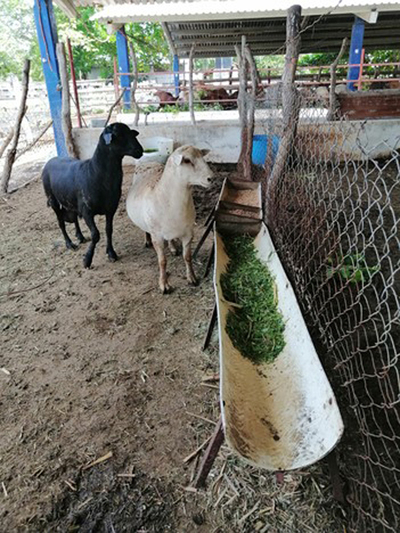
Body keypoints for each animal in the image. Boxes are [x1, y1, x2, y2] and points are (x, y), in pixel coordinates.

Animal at [43, 122, 143, 268]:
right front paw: (87, 260)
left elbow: (108, 230)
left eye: (131, 133)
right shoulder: (87, 211)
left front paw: (111, 253)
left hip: (71, 202)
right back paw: (70, 244)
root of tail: (51, 160)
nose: (140, 150)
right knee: (61, 223)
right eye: (118, 135)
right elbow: (96, 235)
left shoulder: (111, 209)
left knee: (74, 218)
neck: (95, 171)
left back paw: (80, 236)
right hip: (53, 200)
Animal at [126, 145, 212, 294]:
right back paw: (147, 241)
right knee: (145, 230)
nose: (211, 178)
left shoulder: (189, 233)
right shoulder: (157, 236)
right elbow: (162, 261)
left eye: (202, 156)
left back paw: (172, 247)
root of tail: (149, 162)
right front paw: (164, 285)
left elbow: (187, 257)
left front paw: (192, 278)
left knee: (171, 238)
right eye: (187, 160)